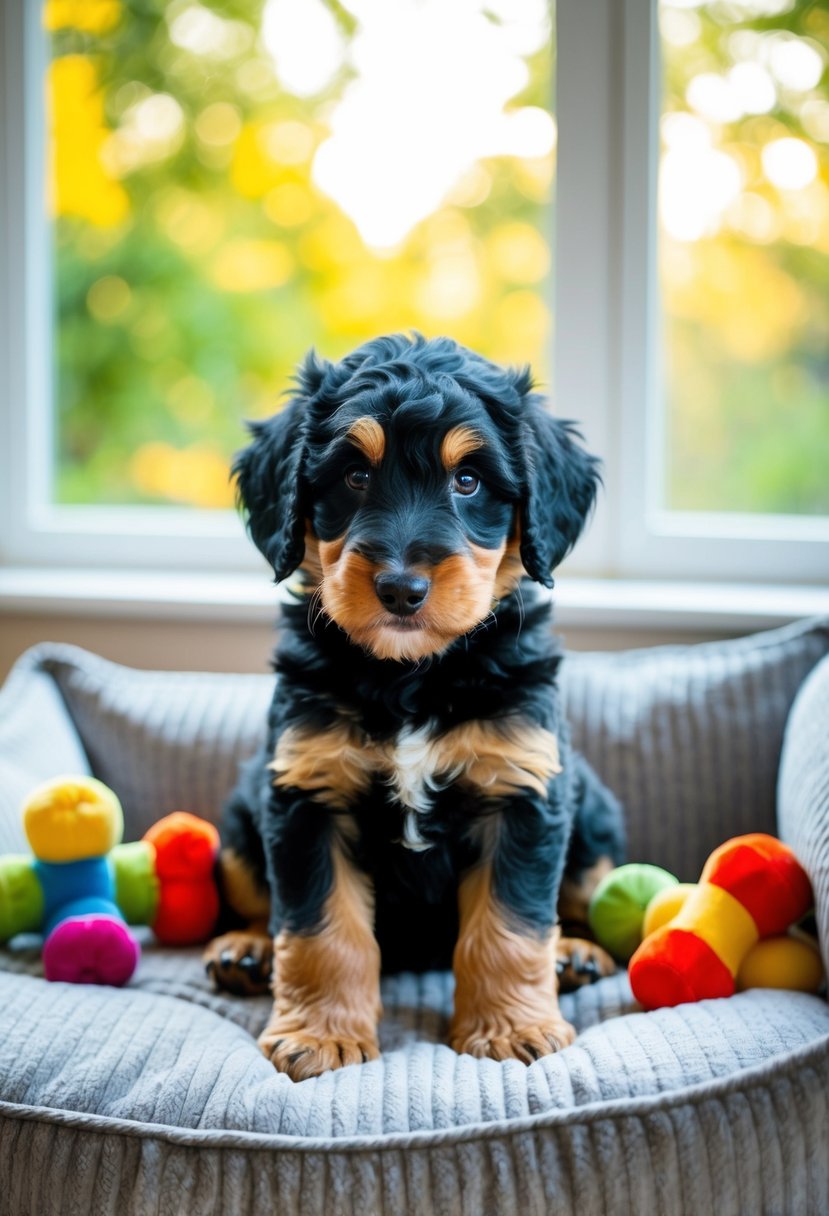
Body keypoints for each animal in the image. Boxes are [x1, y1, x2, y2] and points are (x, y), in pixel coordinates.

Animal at [205, 335, 619, 1084]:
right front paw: (321, 1034)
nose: (401, 588)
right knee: (260, 902)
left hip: (593, 813)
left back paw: (575, 952)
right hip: (242, 824)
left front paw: (510, 1028)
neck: (411, 678)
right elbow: (317, 928)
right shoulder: (306, 796)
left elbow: (512, 926)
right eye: (353, 476)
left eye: (468, 482)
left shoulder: (522, 790)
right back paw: (244, 948)